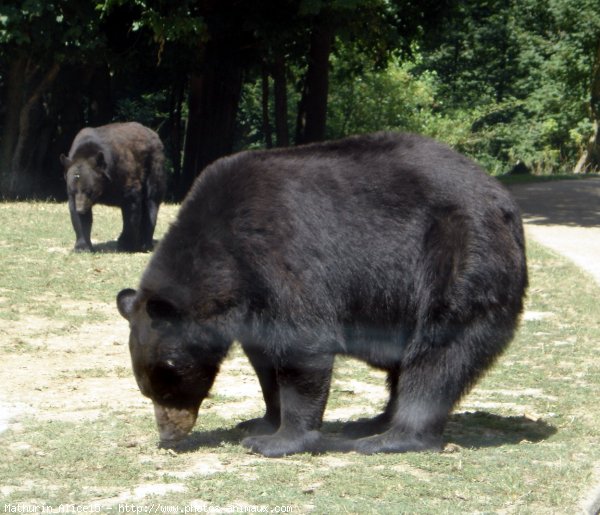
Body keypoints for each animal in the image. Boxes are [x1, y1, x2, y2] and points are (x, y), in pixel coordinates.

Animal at [60, 123, 166, 252]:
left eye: (89, 191)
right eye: (74, 191)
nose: (80, 209)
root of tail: (153, 133)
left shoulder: (123, 176)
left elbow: (131, 208)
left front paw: (125, 244)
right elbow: (79, 219)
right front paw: (82, 247)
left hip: (152, 165)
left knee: (151, 201)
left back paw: (145, 244)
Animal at [116, 131, 524, 458]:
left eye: (169, 377)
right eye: (146, 388)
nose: (169, 435)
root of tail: (505, 202)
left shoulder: (280, 256)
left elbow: (303, 343)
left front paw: (276, 441)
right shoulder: (252, 303)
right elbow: (264, 358)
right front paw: (261, 421)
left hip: (459, 260)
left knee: (439, 353)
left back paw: (390, 437)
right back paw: (373, 422)